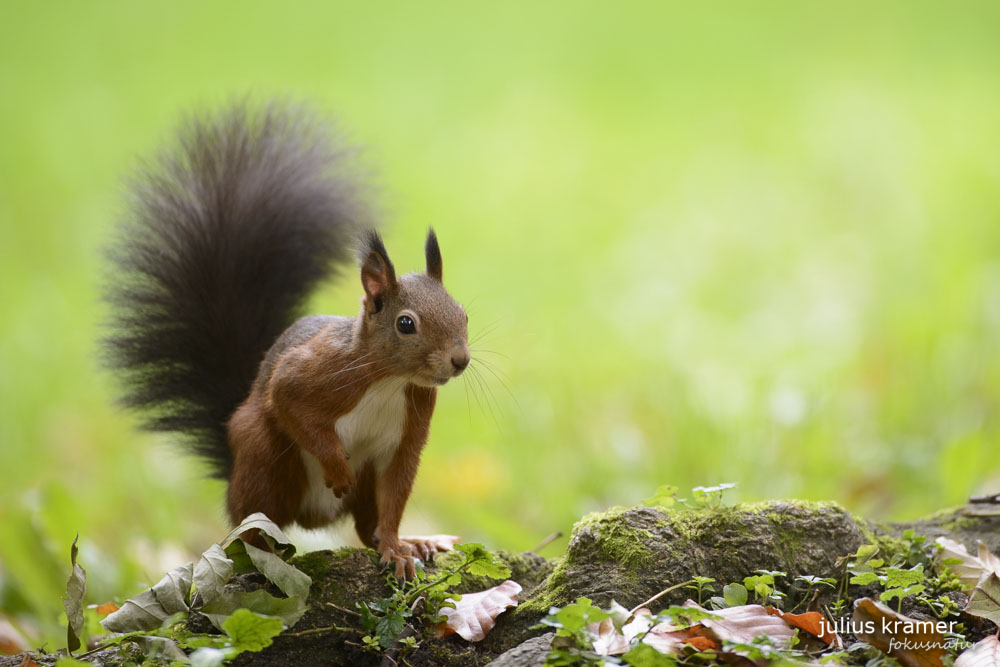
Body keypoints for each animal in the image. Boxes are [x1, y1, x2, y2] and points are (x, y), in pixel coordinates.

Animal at [103, 100, 470, 580]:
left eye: (463, 311)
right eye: (406, 324)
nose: (460, 360)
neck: (388, 380)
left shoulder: (404, 440)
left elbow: (393, 498)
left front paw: (396, 549)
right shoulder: (318, 373)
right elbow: (290, 399)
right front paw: (336, 468)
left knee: (366, 525)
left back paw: (416, 541)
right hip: (264, 455)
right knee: (253, 525)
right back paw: (265, 555)